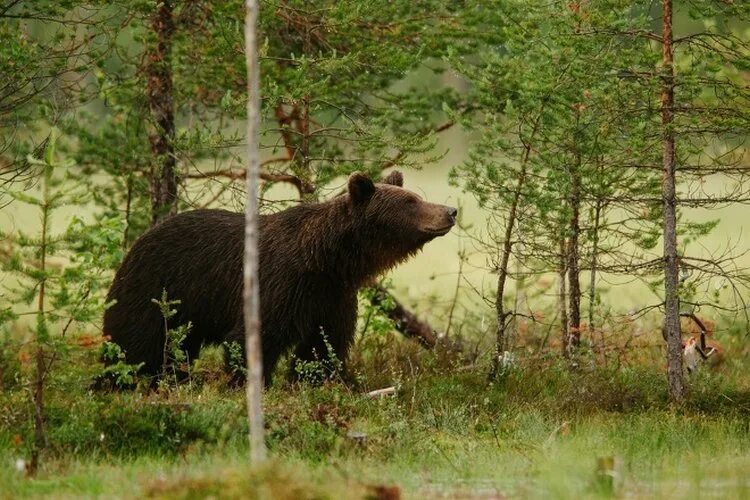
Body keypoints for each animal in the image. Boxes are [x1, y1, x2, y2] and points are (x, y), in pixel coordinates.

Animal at [103, 170, 456, 384]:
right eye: (411, 202)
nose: (450, 211)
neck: (327, 261)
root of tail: (137, 243)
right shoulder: (280, 283)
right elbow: (256, 335)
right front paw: (250, 382)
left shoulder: (332, 297)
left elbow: (324, 344)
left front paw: (314, 379)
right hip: (156, 288)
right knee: (135, 341)